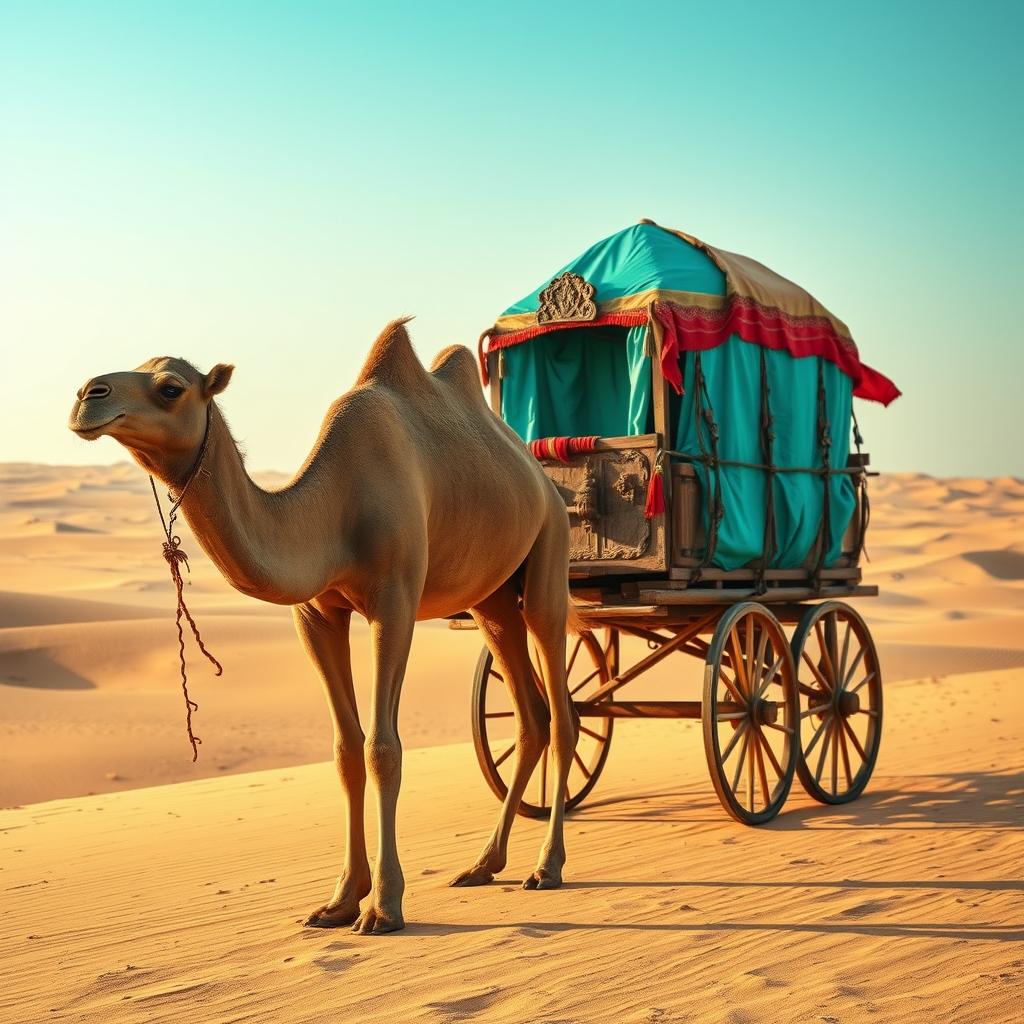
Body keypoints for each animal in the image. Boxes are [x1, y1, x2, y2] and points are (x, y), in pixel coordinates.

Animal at [68, 318, 578, 934]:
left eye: (171, 387)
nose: (87, 395)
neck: (332, 510)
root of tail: (542, 478)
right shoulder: (314, 613)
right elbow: (345, 751)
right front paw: (340, 900)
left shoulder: (394, 601)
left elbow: (383, 748)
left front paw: (384, 905)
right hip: (490, 599)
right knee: (530, 716)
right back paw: (484, 864)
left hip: (550, 553)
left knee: (562, 711)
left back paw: (547, 866)